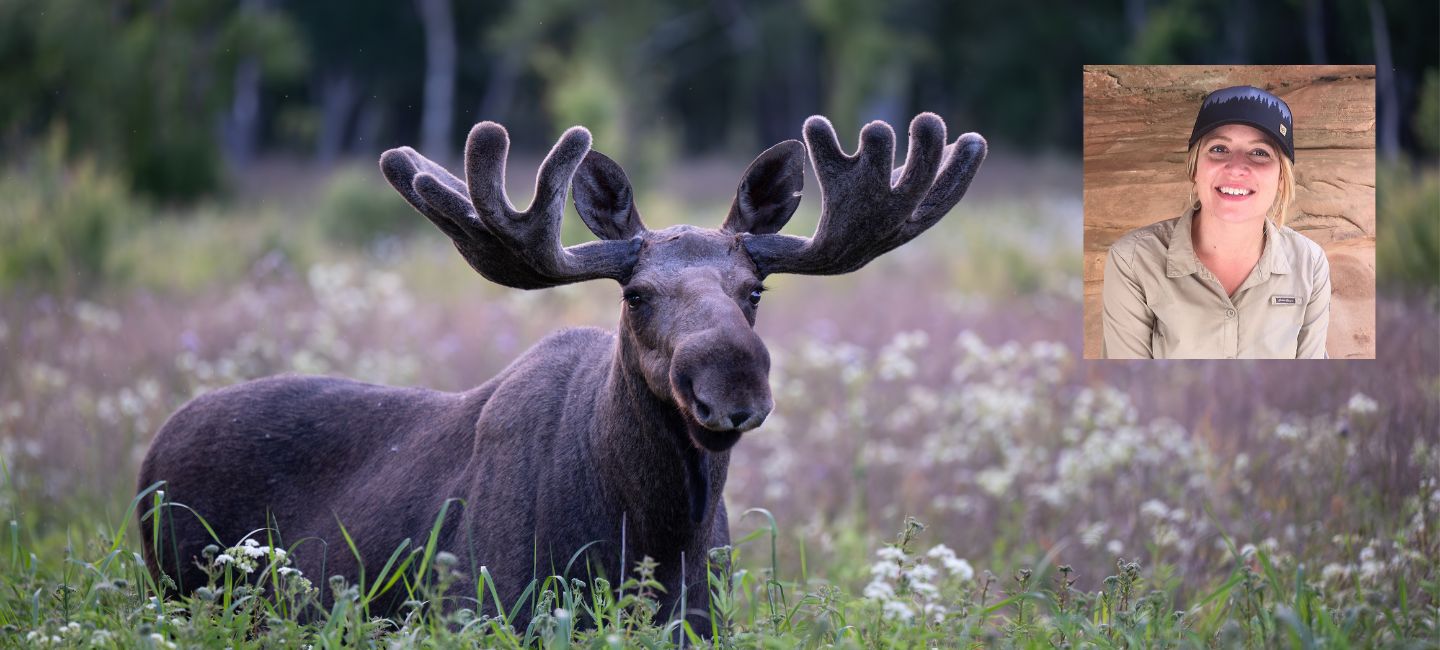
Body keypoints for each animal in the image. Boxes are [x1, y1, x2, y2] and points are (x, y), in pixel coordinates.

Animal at [137, 113, 986, 632]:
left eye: (755, 291)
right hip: (180, 590)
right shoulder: (485, 609)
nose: (732, 388)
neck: (655, 536)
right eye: (636, 294)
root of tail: (149, 457)